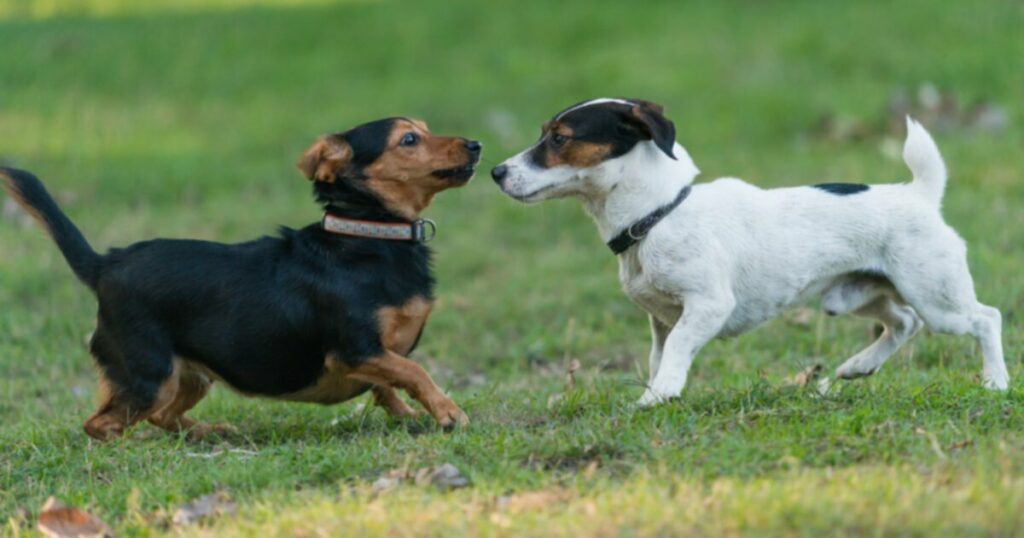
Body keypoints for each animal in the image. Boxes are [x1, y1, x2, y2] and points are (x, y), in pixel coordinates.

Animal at [1, 116, 479, 436]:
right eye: (409, 139)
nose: (475, 143)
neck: (367, 236)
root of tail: (106, 263)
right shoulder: (355, 350)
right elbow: (414, 371)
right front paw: (448, 411)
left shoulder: (379, 355)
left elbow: (390, 384)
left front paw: (410, 416)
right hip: (149, 375)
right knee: (100, 424)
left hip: (193, 375)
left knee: (160, 416)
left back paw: (205, 433)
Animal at [493, 98, 1007, 405]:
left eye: (559, 138)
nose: (496, 171)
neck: (659, 213)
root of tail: (919, 194)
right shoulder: (661, 319)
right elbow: (660, 356)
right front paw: (659, 390)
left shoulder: (707, 305)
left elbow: (677, 351)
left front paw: (661, 395)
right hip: (854, 295)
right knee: (902, 323)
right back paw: (856, 368)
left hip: (934, 295)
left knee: (985, 318)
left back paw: (995, 381)